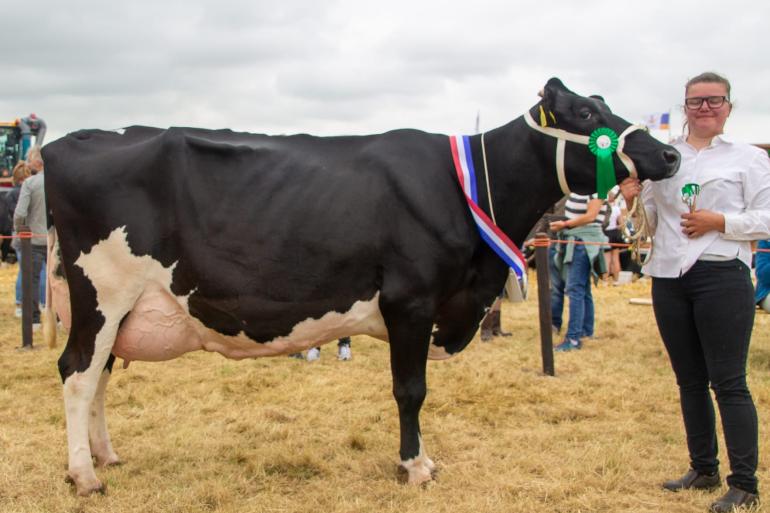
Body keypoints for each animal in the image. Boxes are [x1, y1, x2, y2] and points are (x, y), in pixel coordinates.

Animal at [43, 78, 680, 494]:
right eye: (583, 113)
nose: (670, 153)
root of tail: (68, 140)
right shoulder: (412, 301)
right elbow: (411, 391)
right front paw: (416, 467)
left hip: (117, 307)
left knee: (98, 375)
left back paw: (107, 455)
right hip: (102, 292)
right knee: (77, 373)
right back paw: (84, 475)